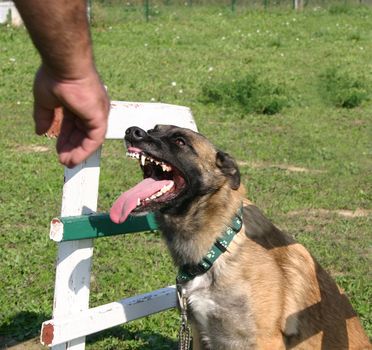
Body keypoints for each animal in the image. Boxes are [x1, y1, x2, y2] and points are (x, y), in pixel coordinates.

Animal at [109, 124, 370, 348]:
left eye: (180, 141)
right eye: (153, 129)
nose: (133, 131)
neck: (217, 248)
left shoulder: (265, 341)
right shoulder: (199, 335)